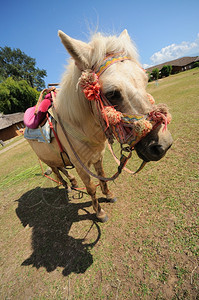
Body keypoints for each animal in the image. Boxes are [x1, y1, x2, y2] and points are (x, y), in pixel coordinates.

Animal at [26, 29, 173, 223]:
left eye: (145, 80)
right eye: (112, 93)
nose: (163, 145)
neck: (81, 128)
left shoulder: (98, 157)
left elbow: (102, 177)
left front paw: (109, 195)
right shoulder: (80, 165)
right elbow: (90, 188)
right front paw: (99, 212)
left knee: (61, 167)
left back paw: (72, 182)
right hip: (45, 159)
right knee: (56, 171)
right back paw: (67, 186)